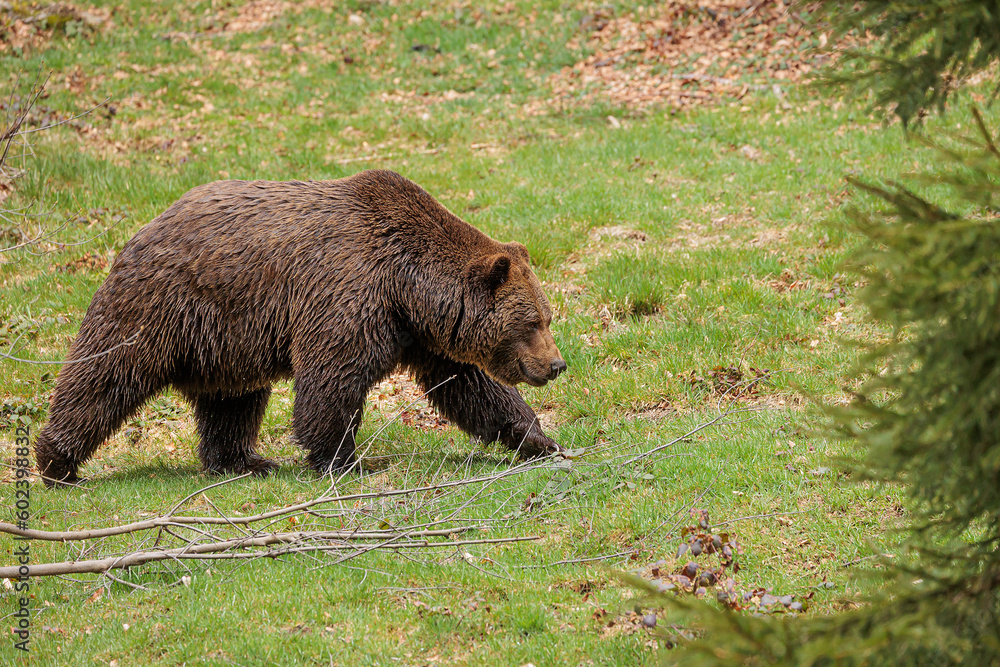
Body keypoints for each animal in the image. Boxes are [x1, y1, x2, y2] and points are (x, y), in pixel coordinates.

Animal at [35, 170, 568, 488]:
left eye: (546, 316)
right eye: (530, 321)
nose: (556, 364)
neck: (407, 283)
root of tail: (142, 228)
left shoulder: (420, 333)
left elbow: (471, 387)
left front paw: (539, 439)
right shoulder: (350, 296)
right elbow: (332, 381)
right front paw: (345, 459)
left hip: (228, 339)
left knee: (232, 400)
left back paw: (244, 461)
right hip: (161, 306)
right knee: (105, 374)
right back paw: (57, 462)